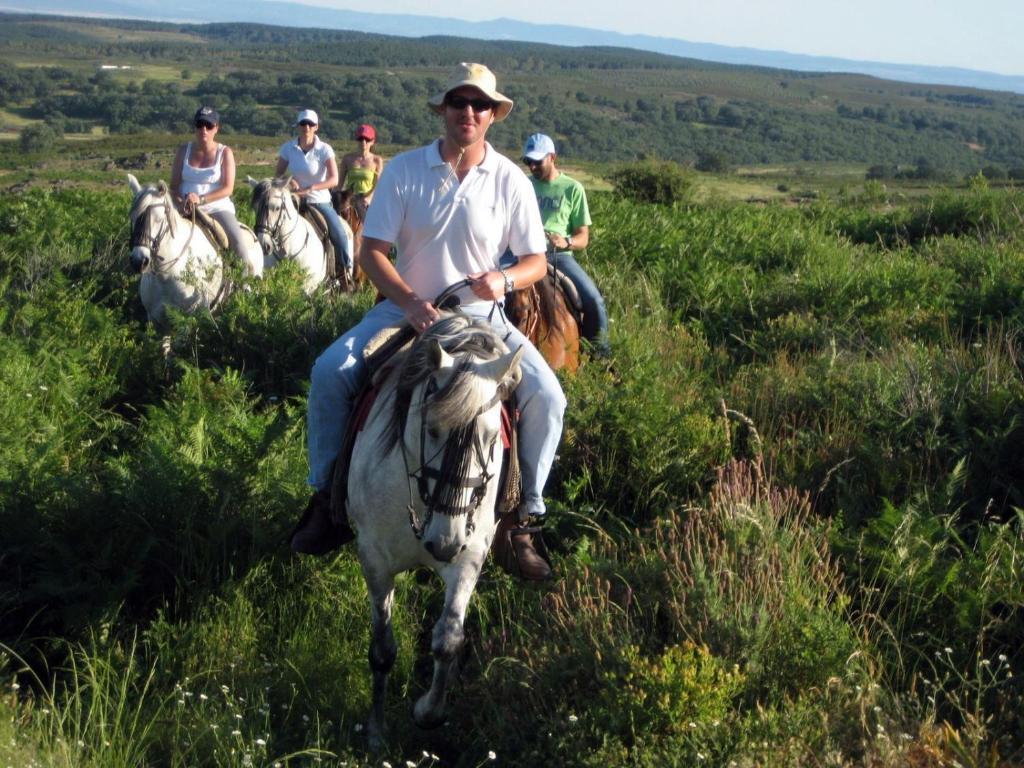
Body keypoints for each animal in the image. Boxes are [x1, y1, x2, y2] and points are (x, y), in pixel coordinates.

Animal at [126, 174, 262, 327]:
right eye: (132, 217)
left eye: (159, 219)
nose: (139, 261)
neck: (165, 276)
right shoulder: (155, 321)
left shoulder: (186, 322)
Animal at [342, 313, 524, 753]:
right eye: (433, 430)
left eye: (492, 438)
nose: (444, 543)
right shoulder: (374, 558)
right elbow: (382, 649)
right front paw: (376, 732)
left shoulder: (469, 557)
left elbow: (448, 639)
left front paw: (428, 711)